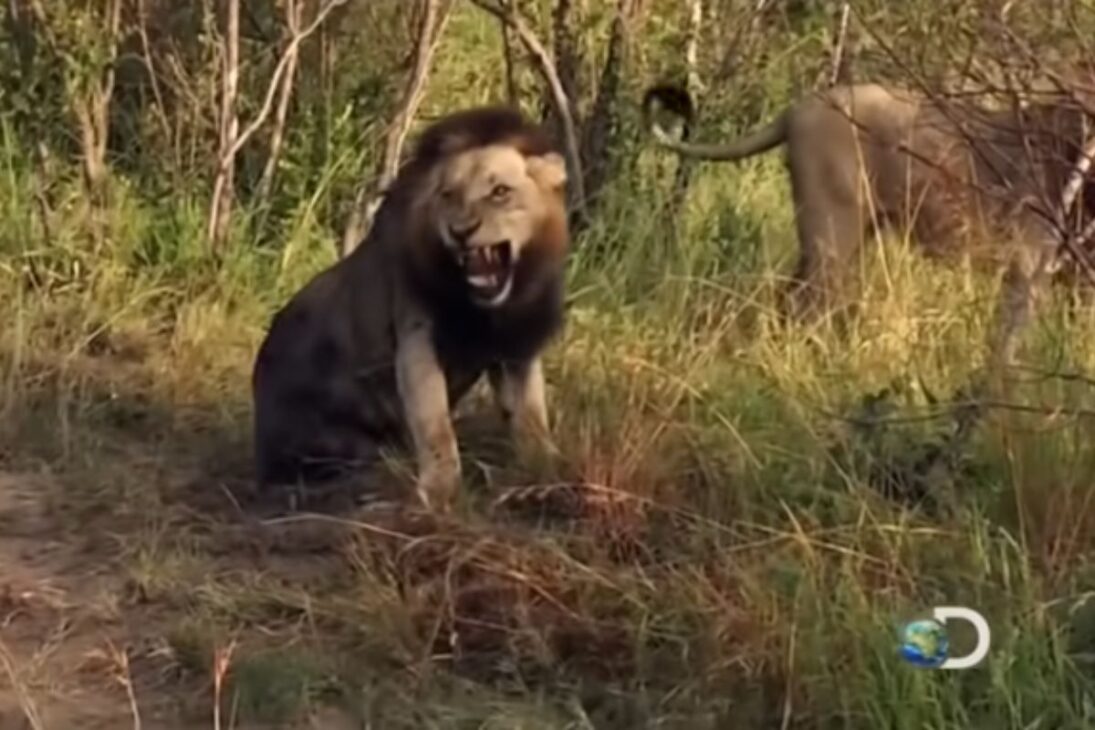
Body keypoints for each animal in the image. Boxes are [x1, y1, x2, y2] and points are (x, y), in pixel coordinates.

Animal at [251, 106, 570, 511]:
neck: (491, 309)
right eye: (448, 194)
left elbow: (531, 418)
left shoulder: (516, 346)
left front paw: (545, 475)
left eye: (500, 191)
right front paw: (440, 494)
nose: (460, 231)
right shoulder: (416, 336)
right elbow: (435, 426)